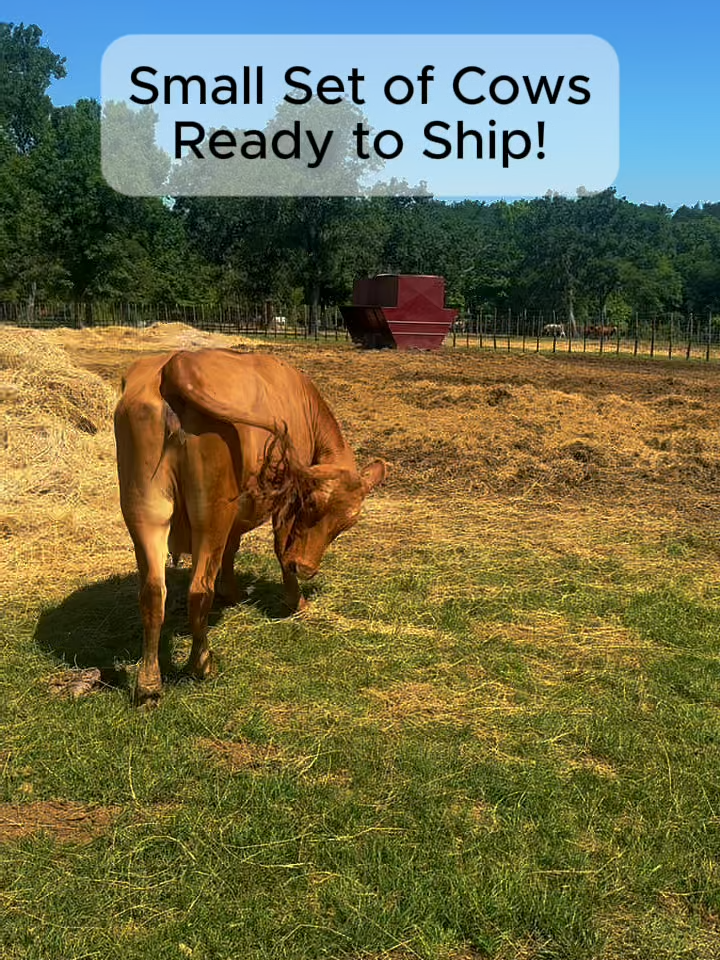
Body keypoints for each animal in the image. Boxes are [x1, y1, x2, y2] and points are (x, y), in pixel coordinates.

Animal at [114, 349, 387, 707]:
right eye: (313, 504)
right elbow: (279, 549)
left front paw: (231, 591)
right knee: (198, 590)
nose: (306, 568)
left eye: (347, 523)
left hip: (146, 509)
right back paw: (202, 664)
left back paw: (148, 684)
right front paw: (295, 602)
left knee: (152, 593)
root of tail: (176, 364)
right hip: (211, 512)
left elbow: (232, 548)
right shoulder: (284, 500)